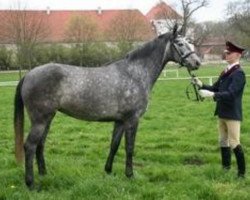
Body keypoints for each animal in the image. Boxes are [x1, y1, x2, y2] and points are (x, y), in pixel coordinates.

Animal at [14, 25, 201, 189]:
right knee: (30, 146)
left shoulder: (120, 121)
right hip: (40, 120)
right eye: (180, 43)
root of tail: (29, 74)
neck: (135, 74)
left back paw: (44, 174)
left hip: (48, 119)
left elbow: (114, 145)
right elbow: (129, 148)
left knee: (40, 144)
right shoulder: (132, 120)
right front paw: (130, 175)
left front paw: (109, 171)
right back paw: (31, 183)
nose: (197, 62)